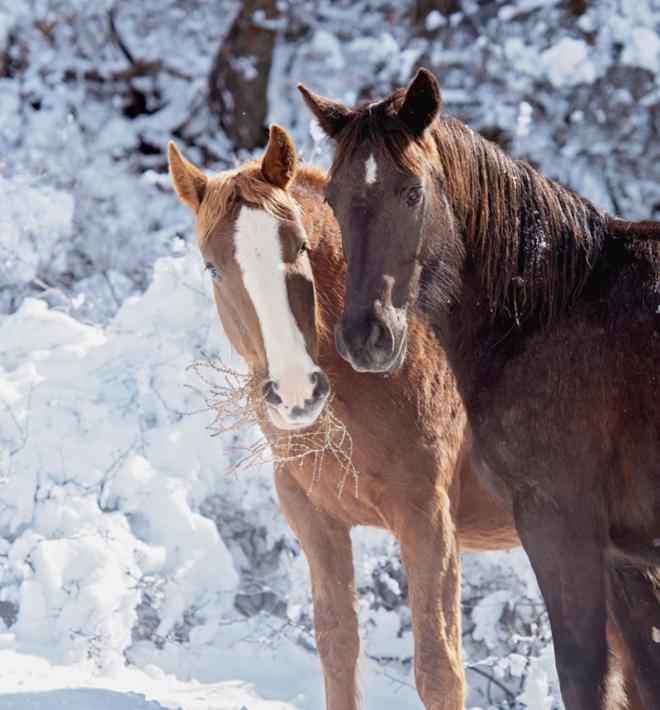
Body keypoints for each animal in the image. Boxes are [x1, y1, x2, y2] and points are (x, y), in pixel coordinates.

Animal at [166, 125, 520, 708]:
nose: (295, 390)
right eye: (212, 267)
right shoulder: (315, 518)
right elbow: (338, 647)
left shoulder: (428, 521)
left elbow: (439, 669)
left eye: (301, 247)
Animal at [300, 68, 660, 710]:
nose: (365, 336)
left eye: (412, 193)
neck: (552, 312)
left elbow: (585, 675)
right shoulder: (626, 558)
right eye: (335, 198)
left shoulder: (561, 531)